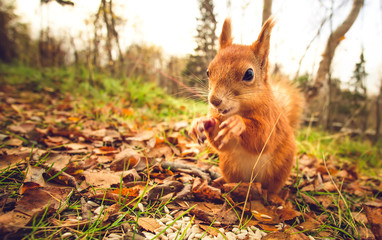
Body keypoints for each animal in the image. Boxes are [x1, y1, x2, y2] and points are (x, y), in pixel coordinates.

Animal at [190, 17, 302, 194]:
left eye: (249, 74)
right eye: (208, 72)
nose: (214, 101)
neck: (237, 111)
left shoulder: (271, 120)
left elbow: (262, 138)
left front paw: (237, 124)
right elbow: (220, 144)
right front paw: (200, 123)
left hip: (279, 170)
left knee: (272, 189)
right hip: (229, 165)